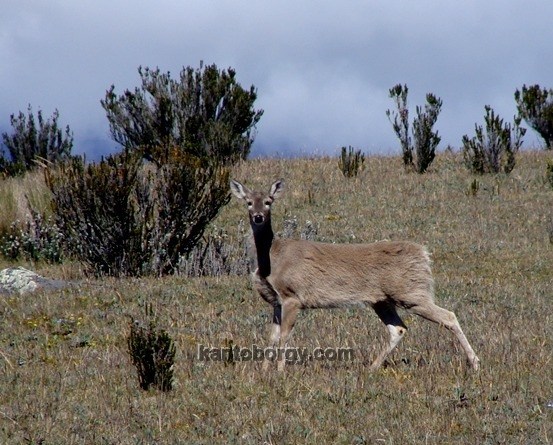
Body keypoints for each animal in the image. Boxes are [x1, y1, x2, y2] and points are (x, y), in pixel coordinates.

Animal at [229, 178, 478, 372]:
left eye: (269, 201)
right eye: (248, 202)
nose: (258, 217)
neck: (273, 256)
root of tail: (424, 254)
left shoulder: (292, 297)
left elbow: (284, 336)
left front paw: (281, 372)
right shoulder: (276, 302)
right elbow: (271, 336)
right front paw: (263, 371)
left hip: (412, 292)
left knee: (449, 316)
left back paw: (474, 363)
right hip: (382, 301)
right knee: (398, 329)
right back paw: (372, 367)